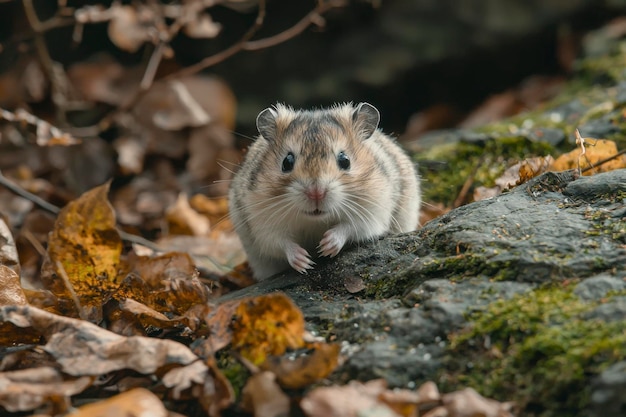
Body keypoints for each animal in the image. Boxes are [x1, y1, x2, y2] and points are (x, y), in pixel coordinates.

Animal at [228, 101, 420, 280]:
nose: (316, 193)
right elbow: (281, 243)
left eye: (345, 160)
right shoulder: (263, 225)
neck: (315, 221)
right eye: (286, 162)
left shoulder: (372, 214)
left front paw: (325, 248)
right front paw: (305, 262)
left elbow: (349, 228)